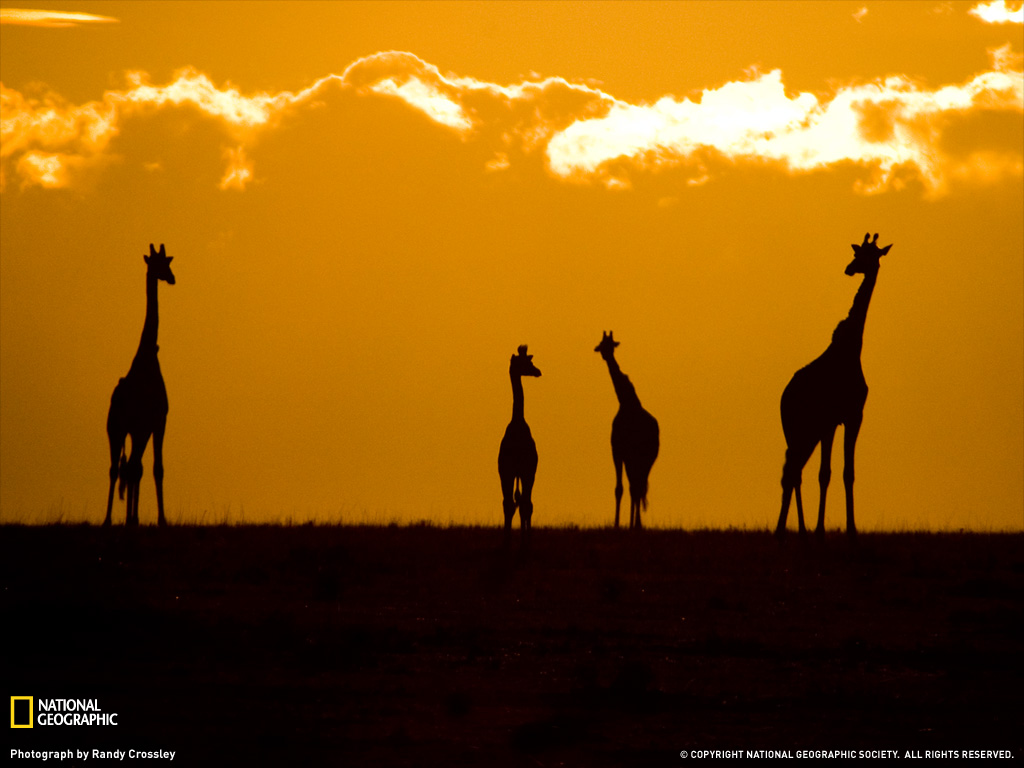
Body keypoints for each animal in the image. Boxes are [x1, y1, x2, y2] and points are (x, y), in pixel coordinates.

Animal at [104, 243, 176, 527]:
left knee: (127, 466)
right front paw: (154, 519)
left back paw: (121, 519)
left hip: (127, 430)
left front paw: (154, 519)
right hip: (121, 429)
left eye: (167, 262)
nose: (172, 278)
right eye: (158, 264)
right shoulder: (151, 422)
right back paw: (117, 519)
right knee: (123, 467)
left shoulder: (149, 424)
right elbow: (147, 468)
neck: (147, 358)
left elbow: (148, 468)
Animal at [595, 331, 659, 529]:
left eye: (610, 344)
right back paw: (635, 523)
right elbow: (623, 488)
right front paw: (620, 523)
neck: (625, 402)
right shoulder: (622, 452)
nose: (604, 354)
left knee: (637, 486)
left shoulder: (622, 451)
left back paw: (636, 524)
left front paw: (624, 524)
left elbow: (626, 488)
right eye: (602, 343)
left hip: (643, 458)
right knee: (637, 485)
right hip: (639, 459)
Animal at [776, 232, 893, 538]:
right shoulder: (839, 419)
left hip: (805, 432)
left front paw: (839, 528)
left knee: (793, 470)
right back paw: (790, 530)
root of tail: (783, 398)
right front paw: (830, 529)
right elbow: (829, 473)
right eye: (857, 253)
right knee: (793, 471)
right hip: (799, 429)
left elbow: (840, 472)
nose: (849, 269)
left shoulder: (846, 418)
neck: (851, 349)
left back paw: (791, 530)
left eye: (870, 255)